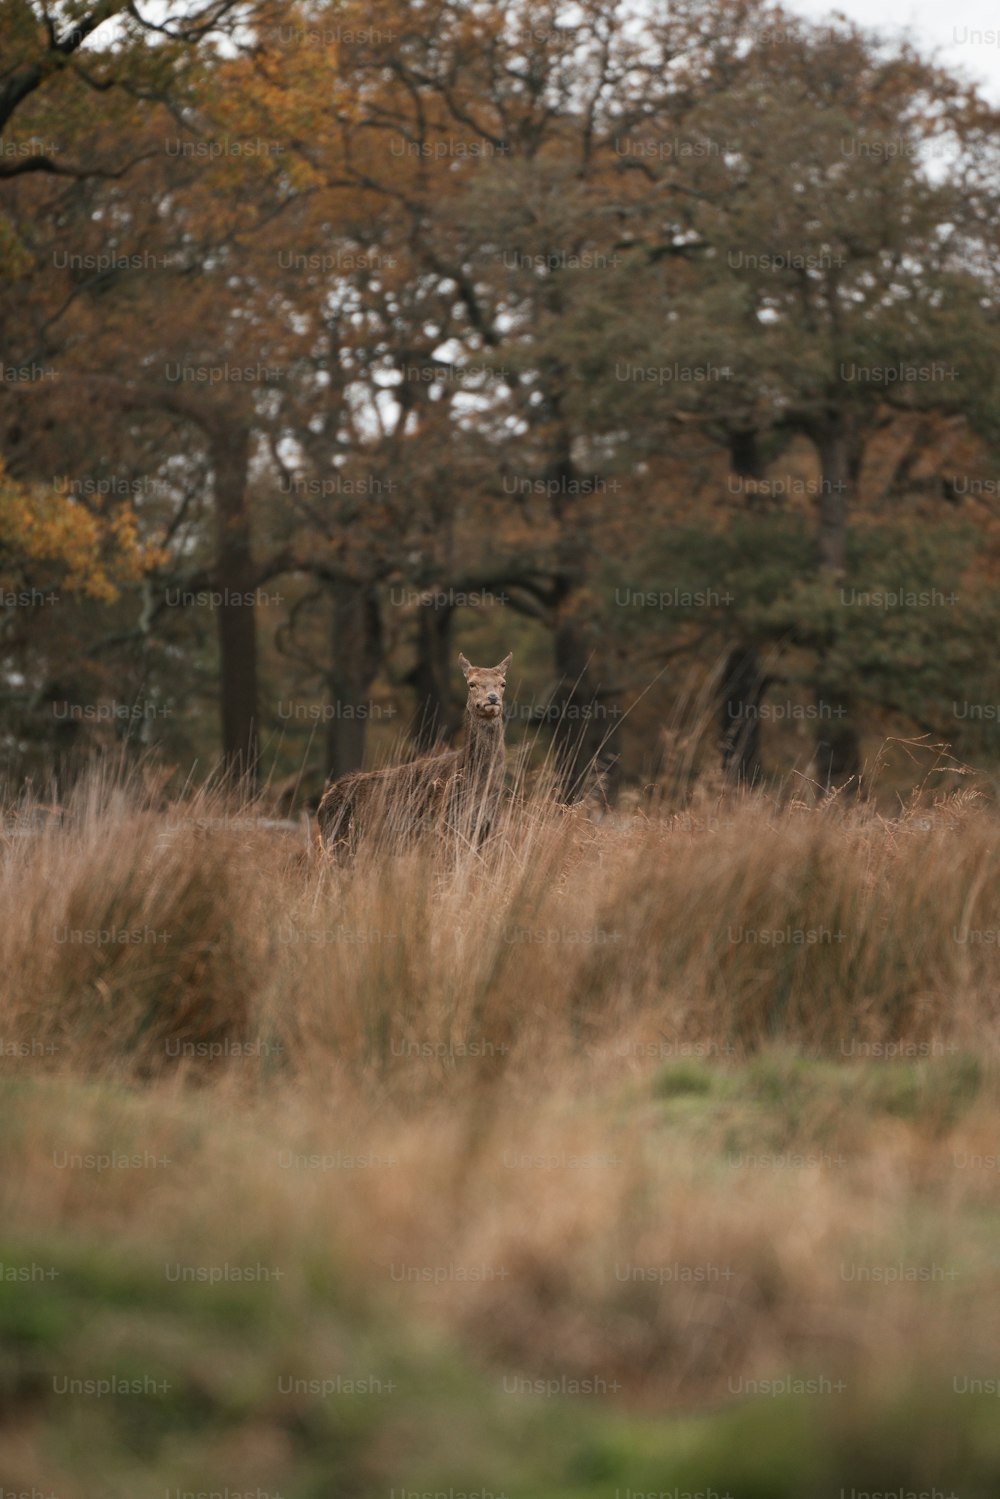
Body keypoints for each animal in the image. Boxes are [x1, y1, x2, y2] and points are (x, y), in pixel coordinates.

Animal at [316, 647, 512, 857]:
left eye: (503, 683)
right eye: (471, 683)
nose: (492, 698)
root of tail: (322, 804)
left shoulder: (485, 829)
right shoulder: (445, 826)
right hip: (339, 842)